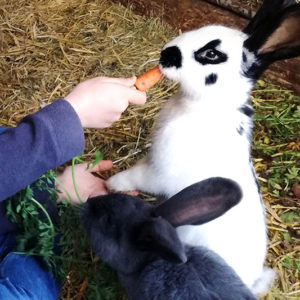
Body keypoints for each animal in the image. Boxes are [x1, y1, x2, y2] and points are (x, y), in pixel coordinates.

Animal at [108, 0, 300, 292]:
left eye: (211, 53)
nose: (166, 53)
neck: (203, 106)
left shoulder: (158, 173)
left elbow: (133, 177)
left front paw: (111, 184)